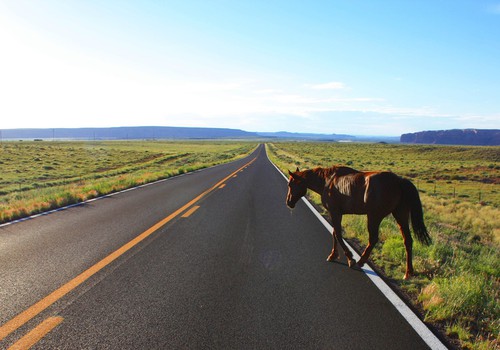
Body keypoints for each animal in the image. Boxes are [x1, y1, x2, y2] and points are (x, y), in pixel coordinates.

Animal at [288, 166, 432, 278]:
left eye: (290, 184)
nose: (288, 202)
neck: (327, 181)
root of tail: (399, 181)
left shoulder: (335, 213)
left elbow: (338, 234)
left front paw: (349, 258)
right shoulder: (337, 214)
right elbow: (334, 233)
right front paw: (333, 255)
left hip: (374, 216)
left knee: (373, 239)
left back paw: (361, 261)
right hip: (400, 215)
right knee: (407, 240)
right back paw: (408, 272)